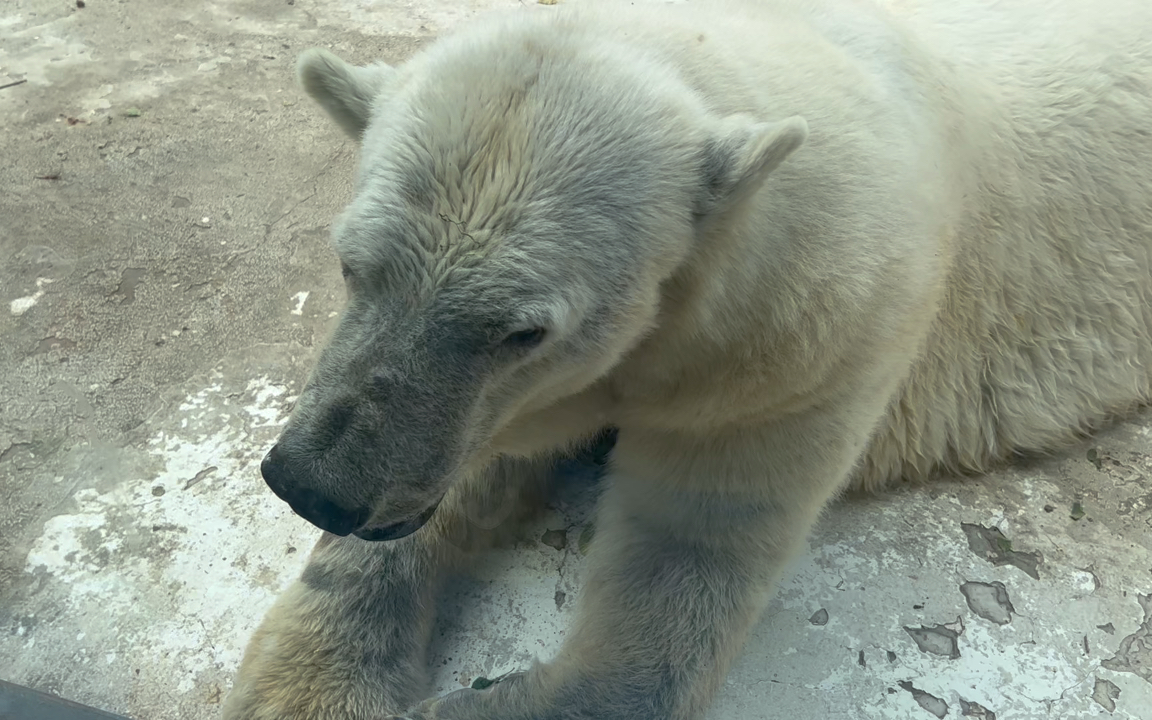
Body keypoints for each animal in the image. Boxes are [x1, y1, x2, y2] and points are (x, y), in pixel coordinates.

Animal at [222, 0, 1152, 718]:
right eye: (351, 264)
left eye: (523, 331)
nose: (314, 487)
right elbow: (471, 459)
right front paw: (311, 682)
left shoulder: (798, 345)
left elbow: (684, 552)